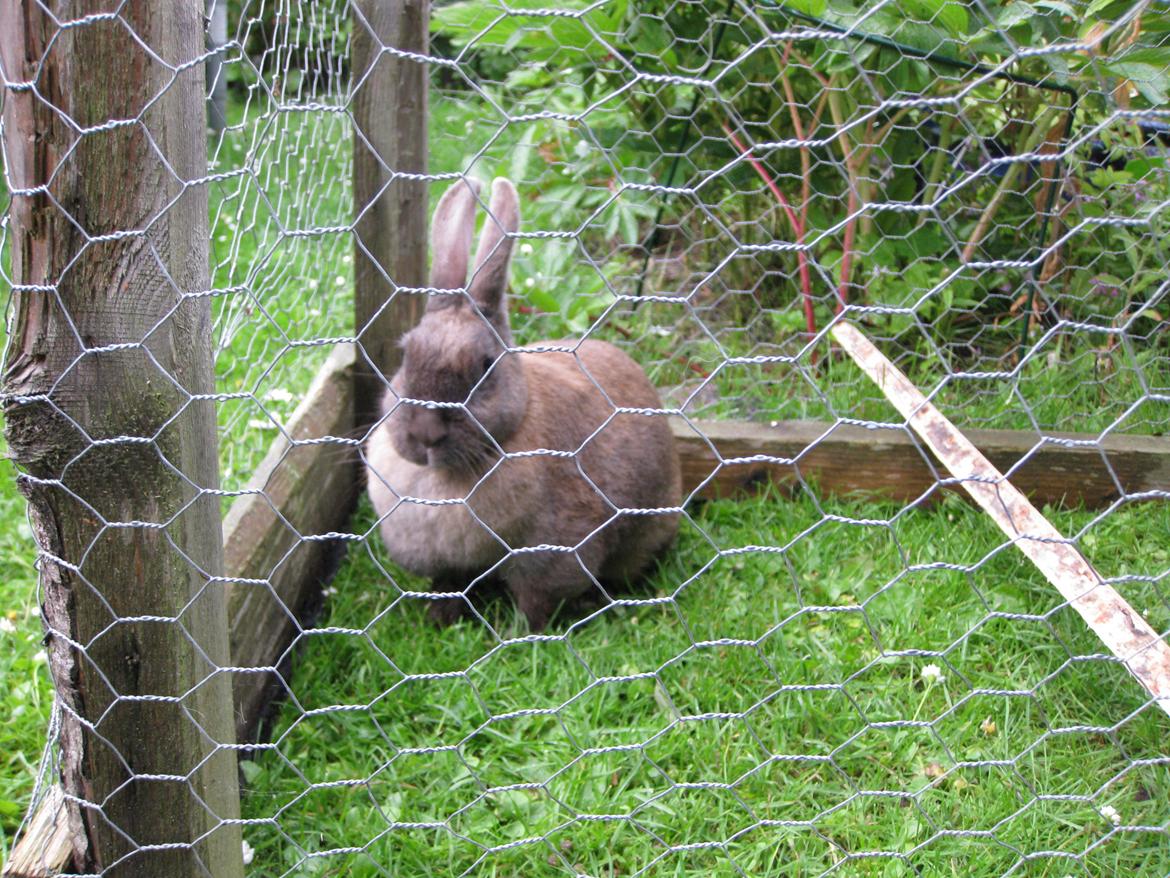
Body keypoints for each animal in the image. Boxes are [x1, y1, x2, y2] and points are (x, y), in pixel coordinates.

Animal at [360, 176, 683, 632]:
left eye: (484, 367)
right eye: (406, 355)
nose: (425, 433)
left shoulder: (553, 554)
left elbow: (536, 601)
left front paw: (520, 634)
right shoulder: (446, 565)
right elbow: (448, 584)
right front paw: (440, 618)